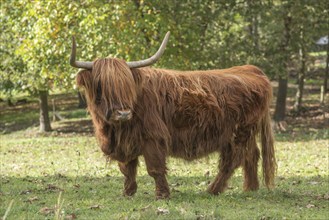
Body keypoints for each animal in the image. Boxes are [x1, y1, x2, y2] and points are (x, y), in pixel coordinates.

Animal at [70, 31, 276, 199]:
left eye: (127, 86)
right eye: (101, 86)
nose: (123, 113)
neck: (115, 130)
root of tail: (251, 69)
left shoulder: (153, 137)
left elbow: (155, 169)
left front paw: (162, 195)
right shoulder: (125, 142)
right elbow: (127, 169)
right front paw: (128, 193)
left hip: (238, 134)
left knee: (231, 161)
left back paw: (212, 190)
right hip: (245, 134)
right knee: (252, 155)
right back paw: (250, 188)